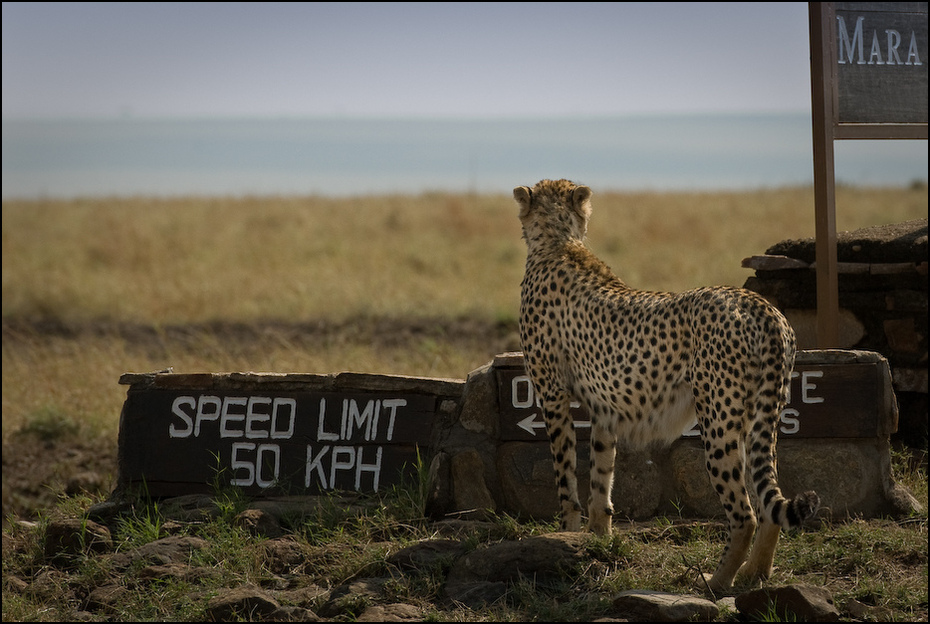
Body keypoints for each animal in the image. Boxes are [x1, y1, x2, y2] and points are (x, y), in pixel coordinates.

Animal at [516, 178, 820, 592]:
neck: (560, 241)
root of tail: (758, 303)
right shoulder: (604, 409)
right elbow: (600, 477)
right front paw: (599, 541)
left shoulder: (552, 394)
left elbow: (565, 477)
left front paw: (568, 534)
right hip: (759, 417)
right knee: (766, 500)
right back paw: (753, 574)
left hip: (718, 421)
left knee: (744, 514)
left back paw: (715, 582)